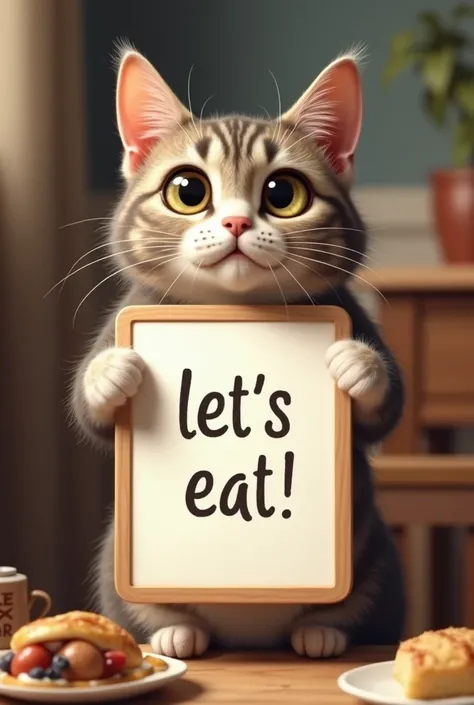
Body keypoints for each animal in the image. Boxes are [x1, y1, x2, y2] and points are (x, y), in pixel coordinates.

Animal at [72, 44, 406, 660]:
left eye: (281, 194)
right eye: (188, 191)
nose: (234, 221)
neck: (238, 306)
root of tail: (250, 634)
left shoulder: (350, 310)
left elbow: (385, 406)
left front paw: (356, 364)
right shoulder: (128, 314)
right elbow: (92, 416)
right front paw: (112, 373)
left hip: (377, 566)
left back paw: (322, 630)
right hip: (114, 572)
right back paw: (175, 630)